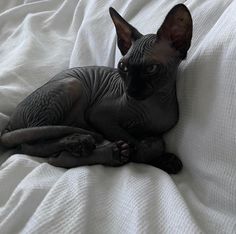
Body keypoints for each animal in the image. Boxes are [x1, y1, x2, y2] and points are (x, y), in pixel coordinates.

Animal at [0, 4, 192, 174]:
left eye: (151, 69)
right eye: (123, 67)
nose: (130, 91)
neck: (152, 106)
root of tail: (10, 122)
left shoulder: (161, 128)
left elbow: (152, 141)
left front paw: (159, 156)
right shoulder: (99, 116)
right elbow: (135, 142)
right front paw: (156, 156)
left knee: (55, 155)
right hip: (72, 84)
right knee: (36, 146)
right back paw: (92, 146)